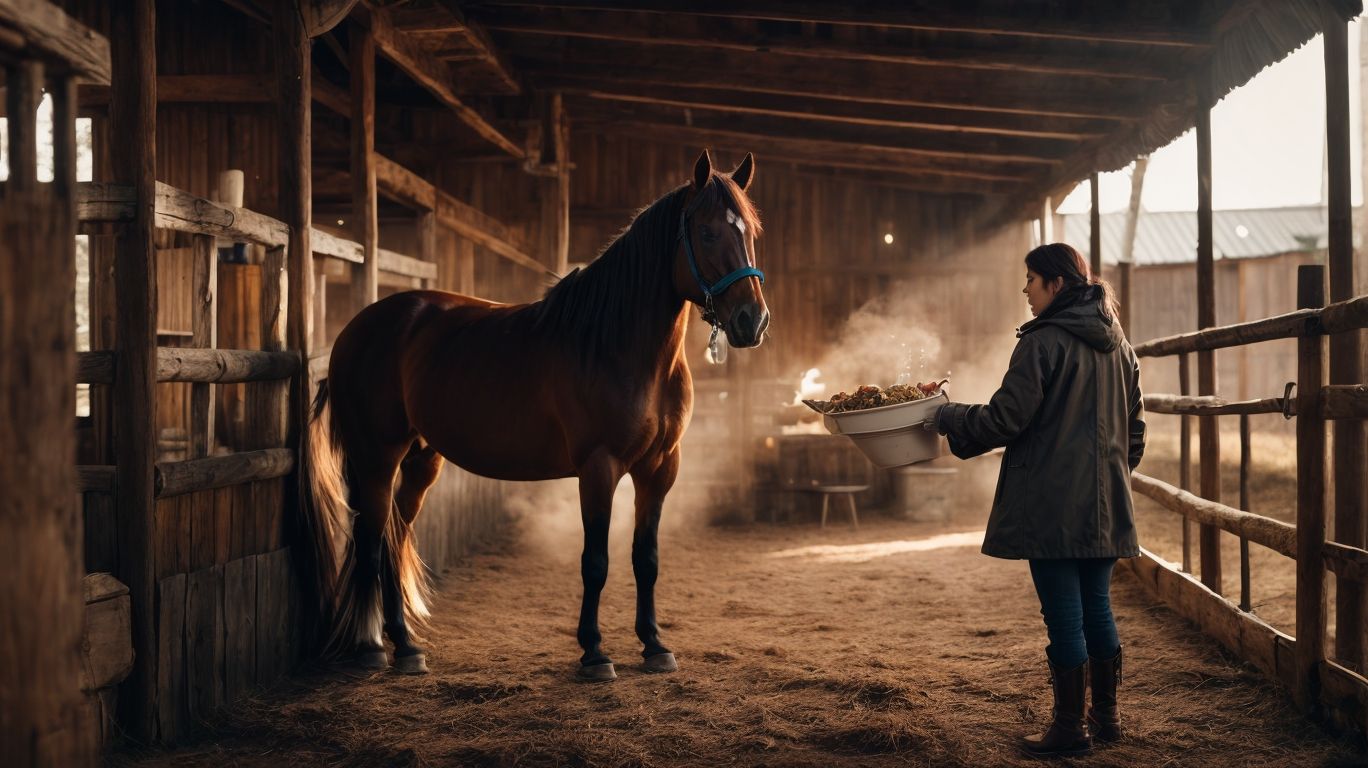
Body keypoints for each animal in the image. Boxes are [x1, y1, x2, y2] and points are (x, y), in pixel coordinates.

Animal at [304, 149, 769, 679]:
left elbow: (646, 558)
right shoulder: (599, 467)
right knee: (371, 539)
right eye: (708, 232)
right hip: (377, 458)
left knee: (395, 539)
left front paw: (654, 645)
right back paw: (370, 648)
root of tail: (355, 329)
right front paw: (594, 652)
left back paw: (405, 648)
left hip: (421, 459)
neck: (616, 344)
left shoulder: (659, 468)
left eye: (751, 234)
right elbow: (596, 561)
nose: (752, 321)